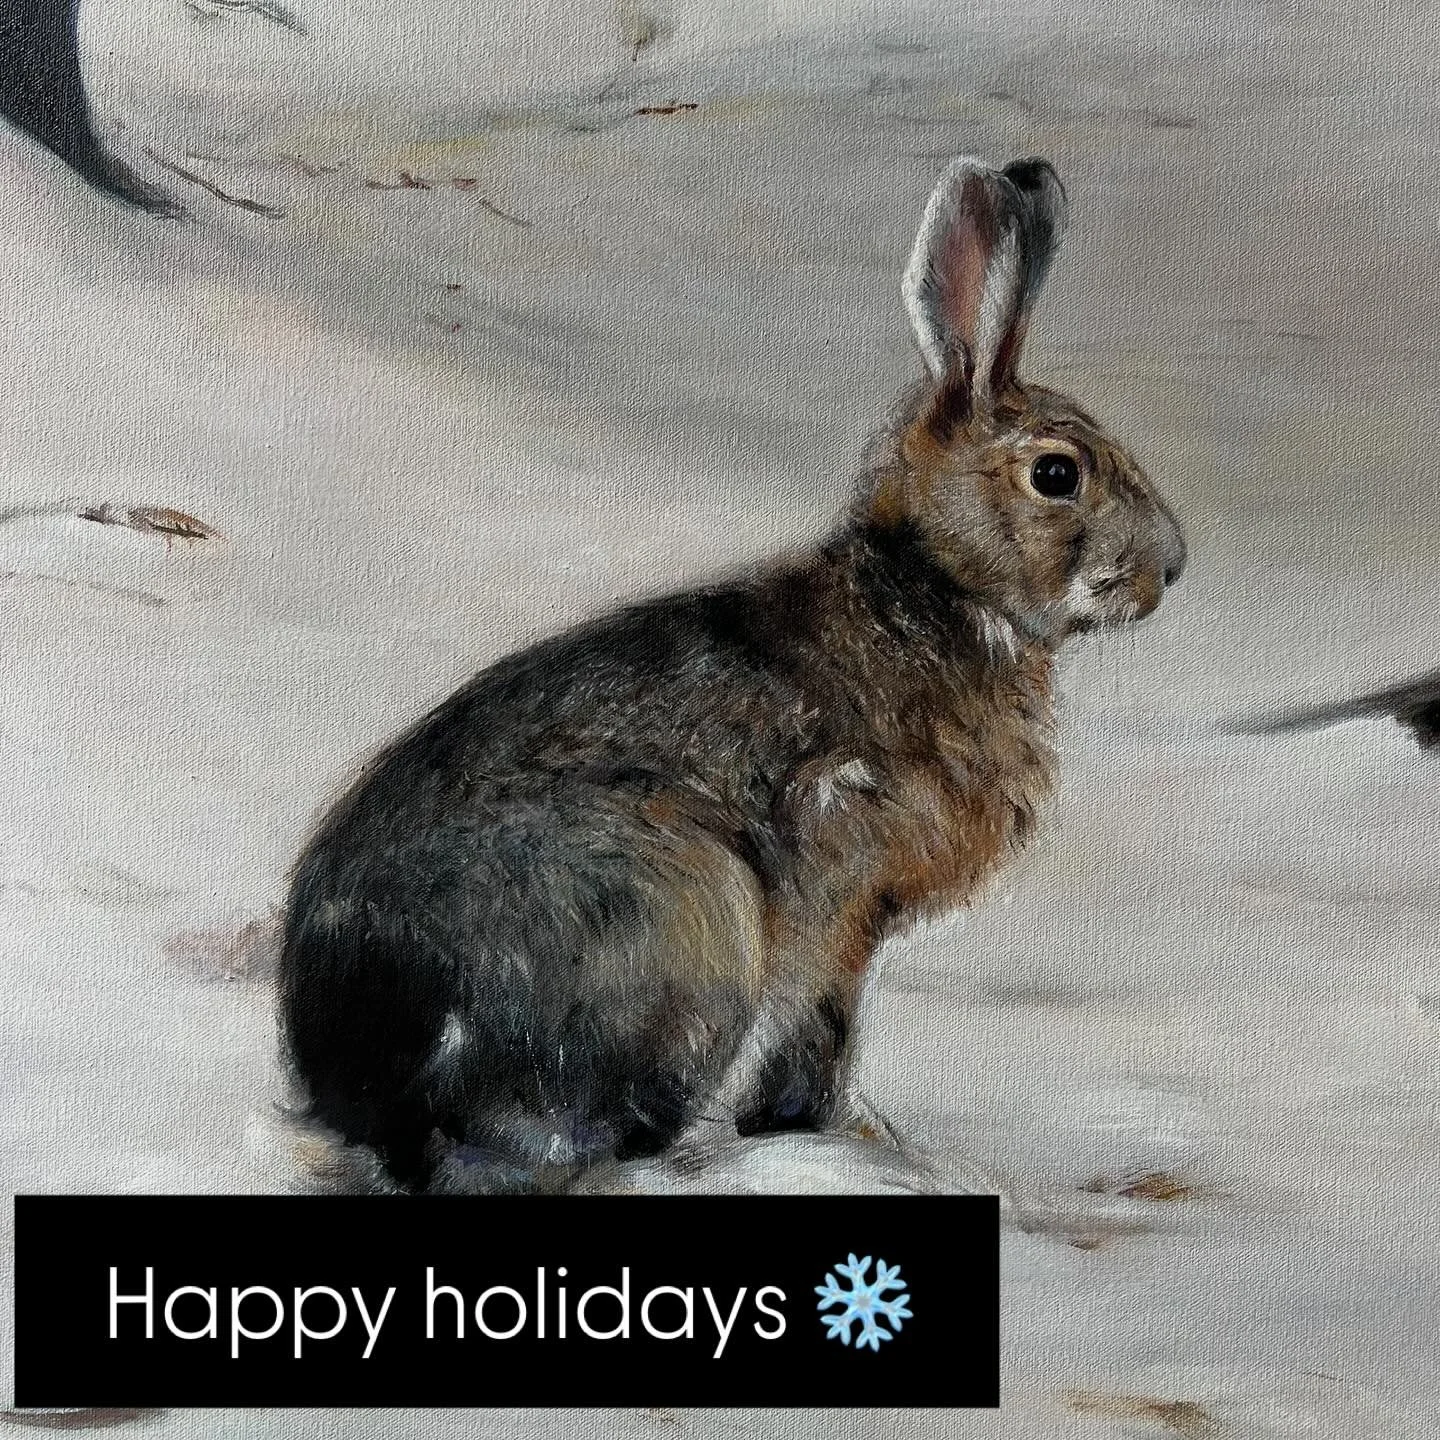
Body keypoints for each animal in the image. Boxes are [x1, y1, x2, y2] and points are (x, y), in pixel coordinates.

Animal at [278, 154, 1187, 1195]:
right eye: (1056, 475)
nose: (1173, 565)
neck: (936, 587)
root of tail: (372, 1074)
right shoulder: (840, 894)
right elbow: (822, 1029)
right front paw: (829, 1131)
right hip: (692, 906)